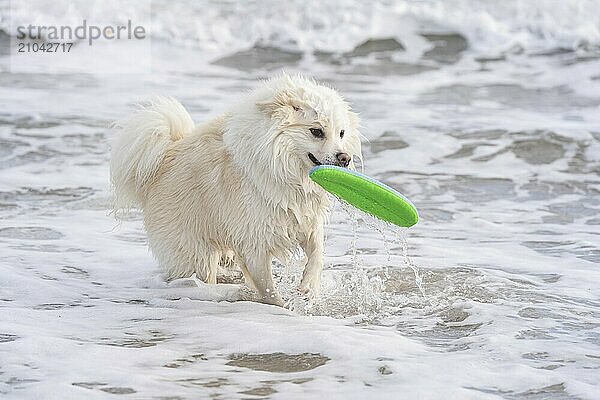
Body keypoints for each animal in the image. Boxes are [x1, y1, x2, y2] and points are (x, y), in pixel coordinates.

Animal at [110, 75, 364, 304]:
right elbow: (268, 289)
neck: (282, 167)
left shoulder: (304, 220)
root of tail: (162, 160)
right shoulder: (254, 241)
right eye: (316, 131)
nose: (344, 158)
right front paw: (282, 307)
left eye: (341, 133)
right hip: (195, 251)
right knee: (197, 275)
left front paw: (308, 288)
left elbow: (317, 254)